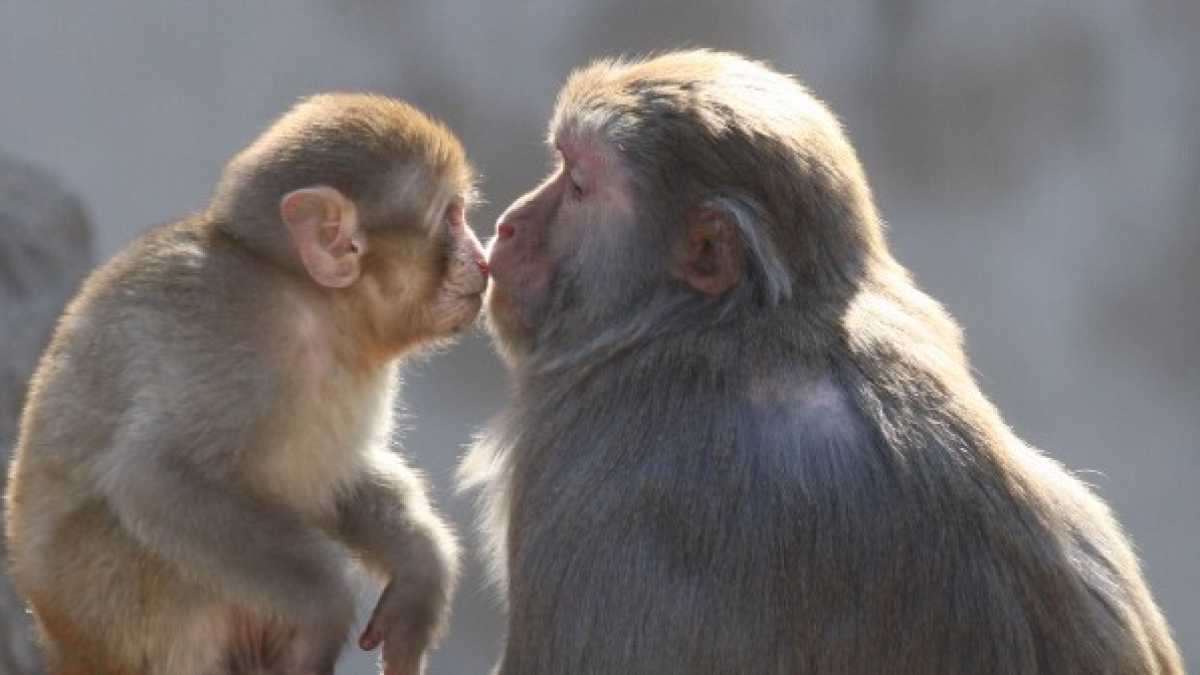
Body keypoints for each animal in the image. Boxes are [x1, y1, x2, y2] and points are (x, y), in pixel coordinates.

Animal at [6, 93, 488, 675]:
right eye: (451, 216)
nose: (483, 259)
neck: (314, 301)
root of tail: (63, 644)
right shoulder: (235, 340)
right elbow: (156, 478)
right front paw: (323, 600)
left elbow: (342, 477)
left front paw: (421, 562)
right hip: (110, 608)